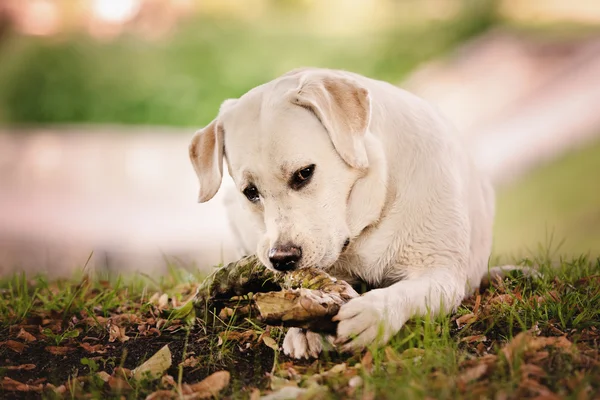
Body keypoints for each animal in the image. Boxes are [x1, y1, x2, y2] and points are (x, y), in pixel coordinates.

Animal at [190, 68, 494, 360]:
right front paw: (302, 328)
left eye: (304, 173)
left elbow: (405, 292)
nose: (283, 259)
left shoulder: (442, 274)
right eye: (251, 192)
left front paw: (374, 313)